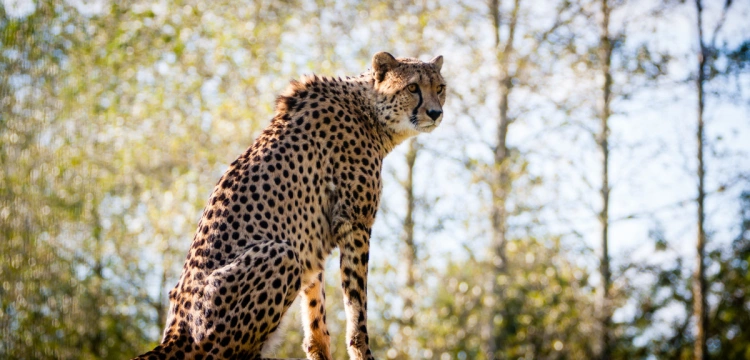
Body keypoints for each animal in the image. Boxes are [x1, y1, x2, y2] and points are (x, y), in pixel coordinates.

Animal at [135, 51, 446, 360]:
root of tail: (176, 335)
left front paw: (319, 350)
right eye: (412, 87)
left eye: (440, 88)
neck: (369, 111)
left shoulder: (312, 238)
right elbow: (356, 305)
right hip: (279, 255)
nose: (435, 113)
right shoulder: (354, 222)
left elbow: (315, 310)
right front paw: (362, 351)